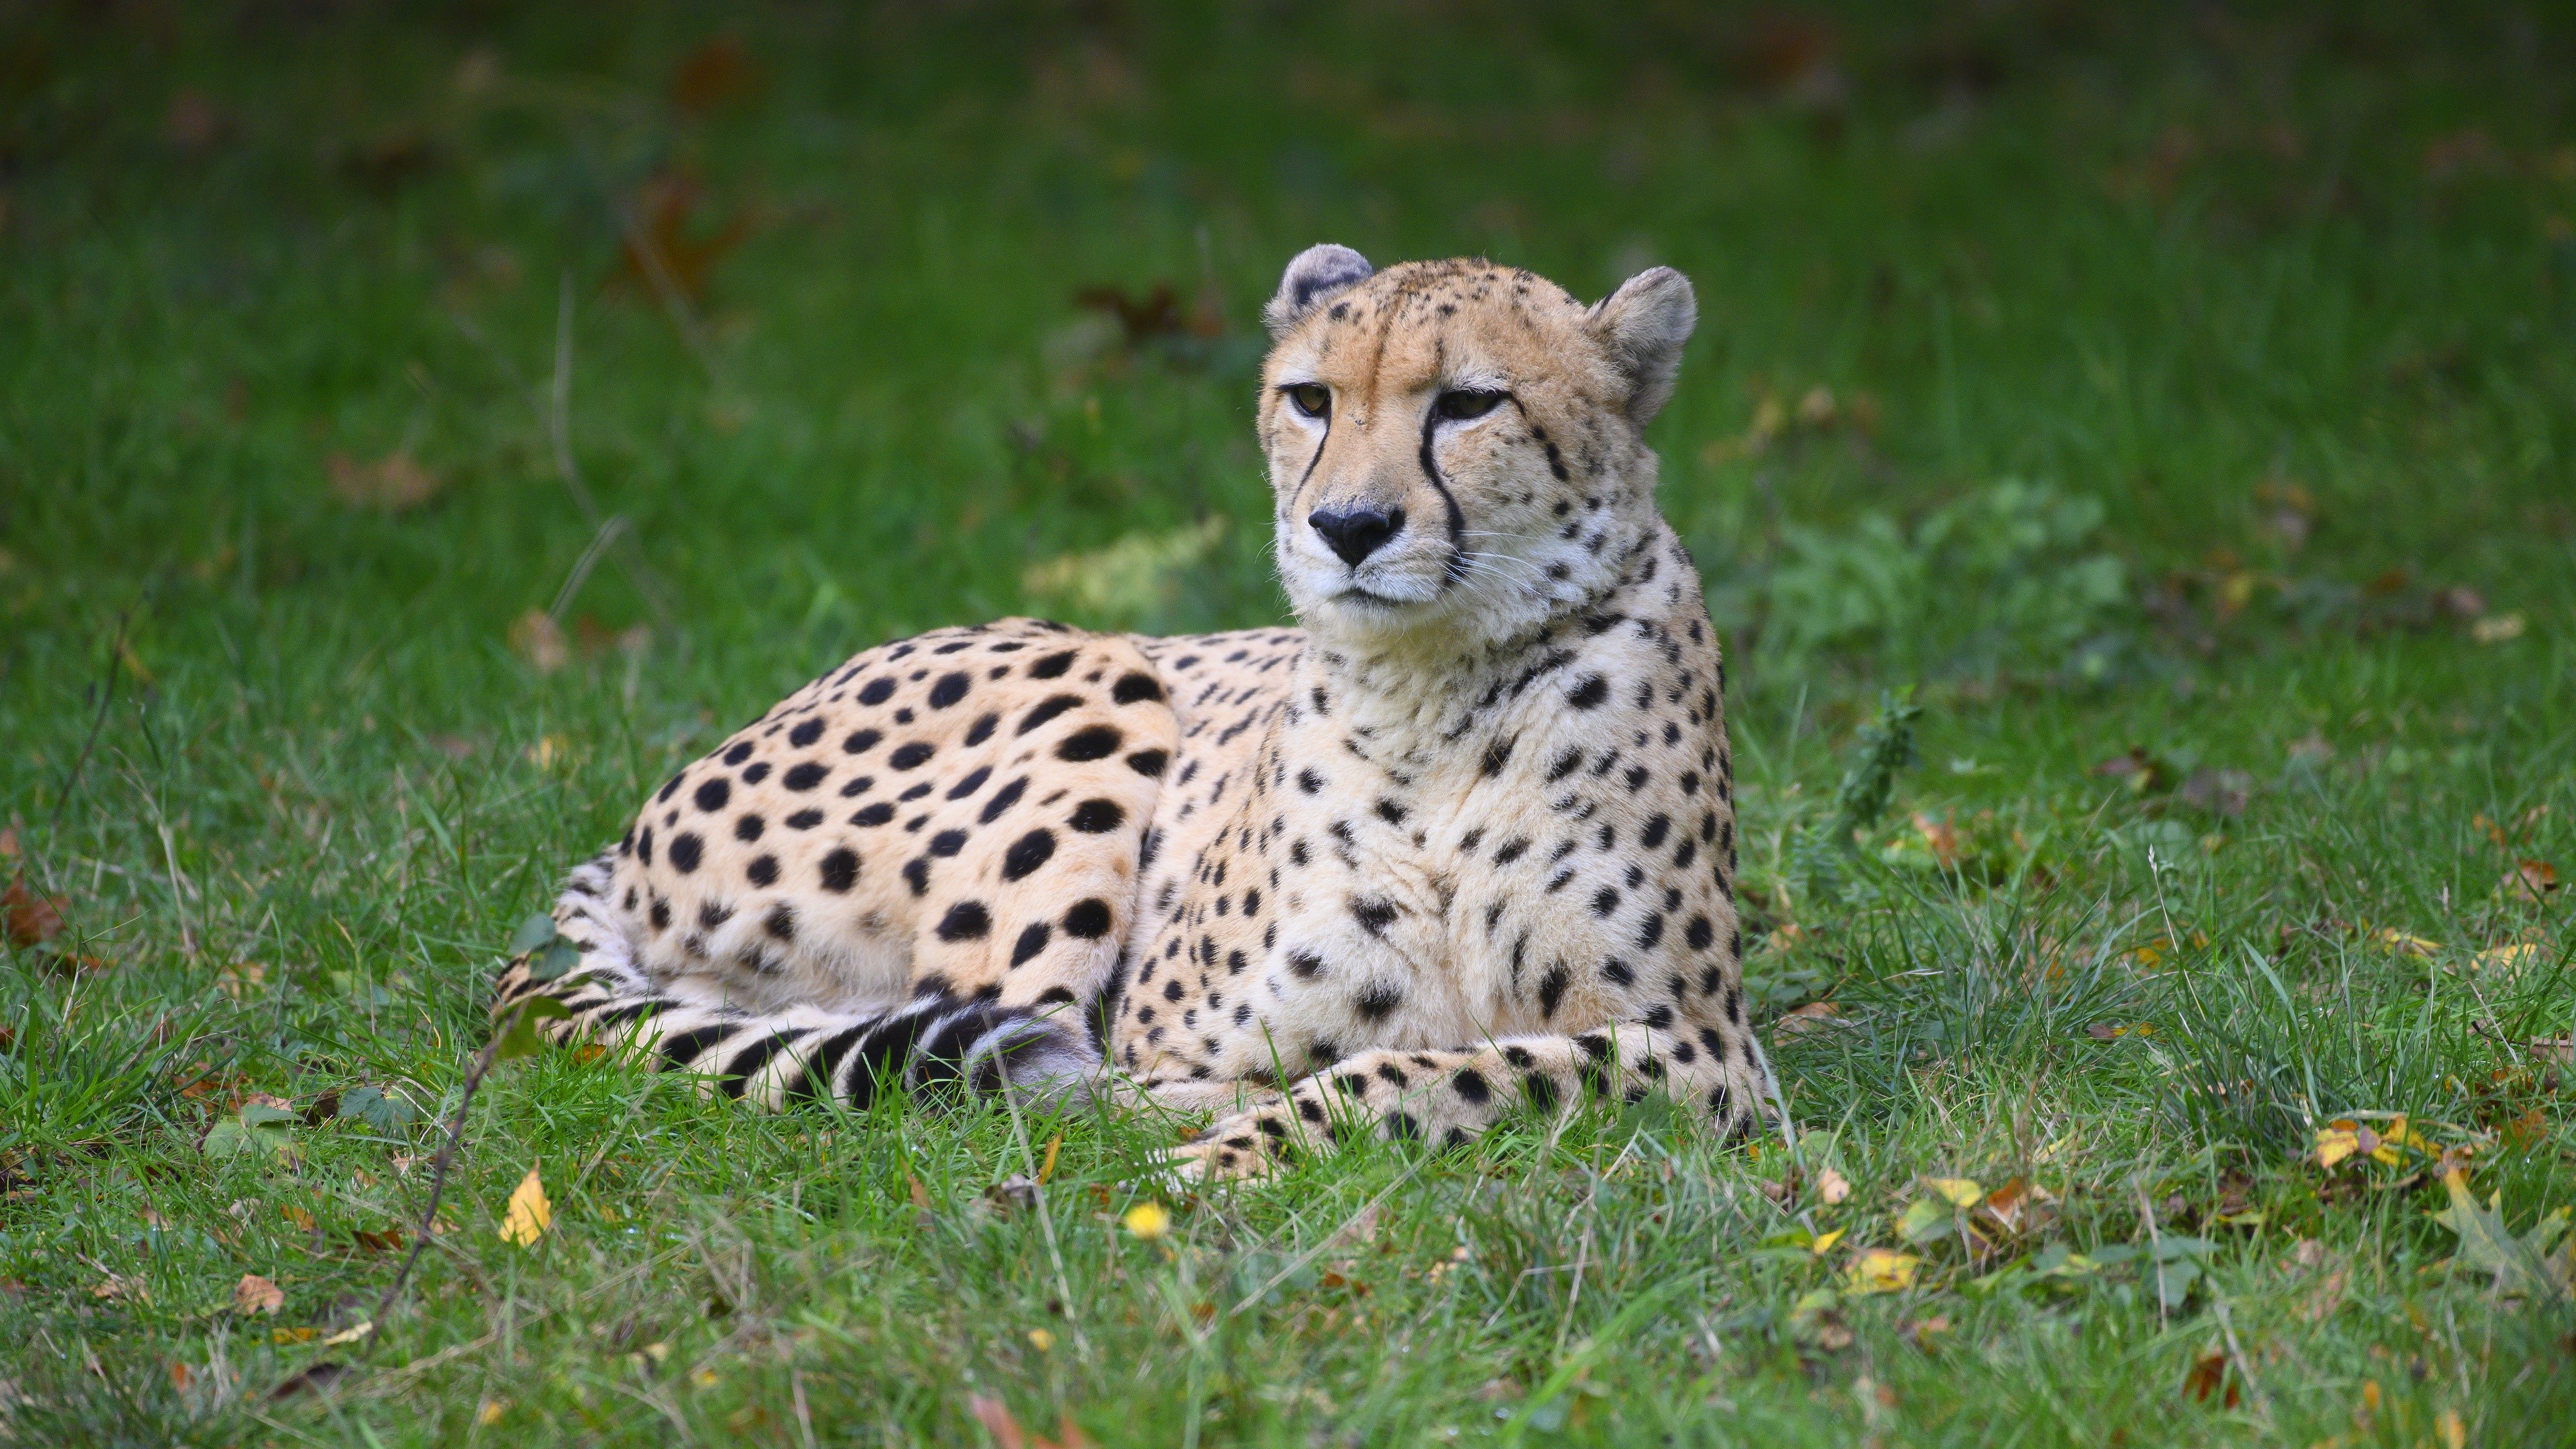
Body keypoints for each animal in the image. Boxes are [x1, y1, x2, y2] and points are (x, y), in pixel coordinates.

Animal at [493, 245, 1780, 1179]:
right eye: (1310, 399)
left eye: (1470, 403)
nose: (1348, 528)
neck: (1433, 689)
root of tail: (633, 834)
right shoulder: (1174, 1031)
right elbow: (1266, 1075)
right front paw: (1214, 1140)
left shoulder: (1705, 1057)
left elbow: (1450, 1071)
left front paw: (1243, 1149)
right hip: (1093, 674)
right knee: (984, 1050)